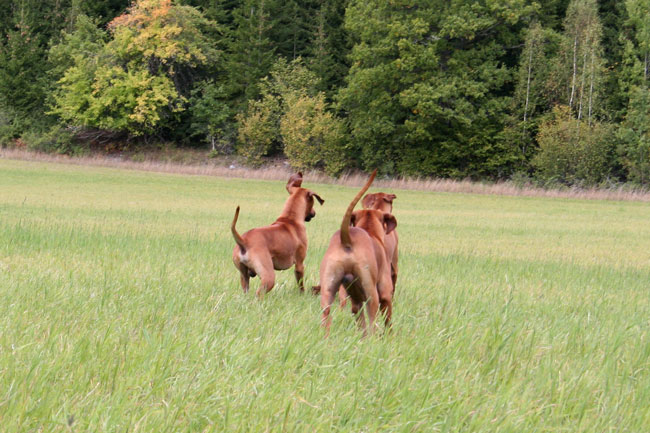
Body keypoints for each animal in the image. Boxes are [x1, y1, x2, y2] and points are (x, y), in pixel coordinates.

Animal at [316, 170, 392, 336]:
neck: (369, 230)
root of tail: (347, 240)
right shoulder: (385, 292)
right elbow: (388, 319)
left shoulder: (356, 301)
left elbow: (360, 321)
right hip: (372, 295)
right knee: (372, 321)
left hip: (327, 291)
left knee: (326, 316)